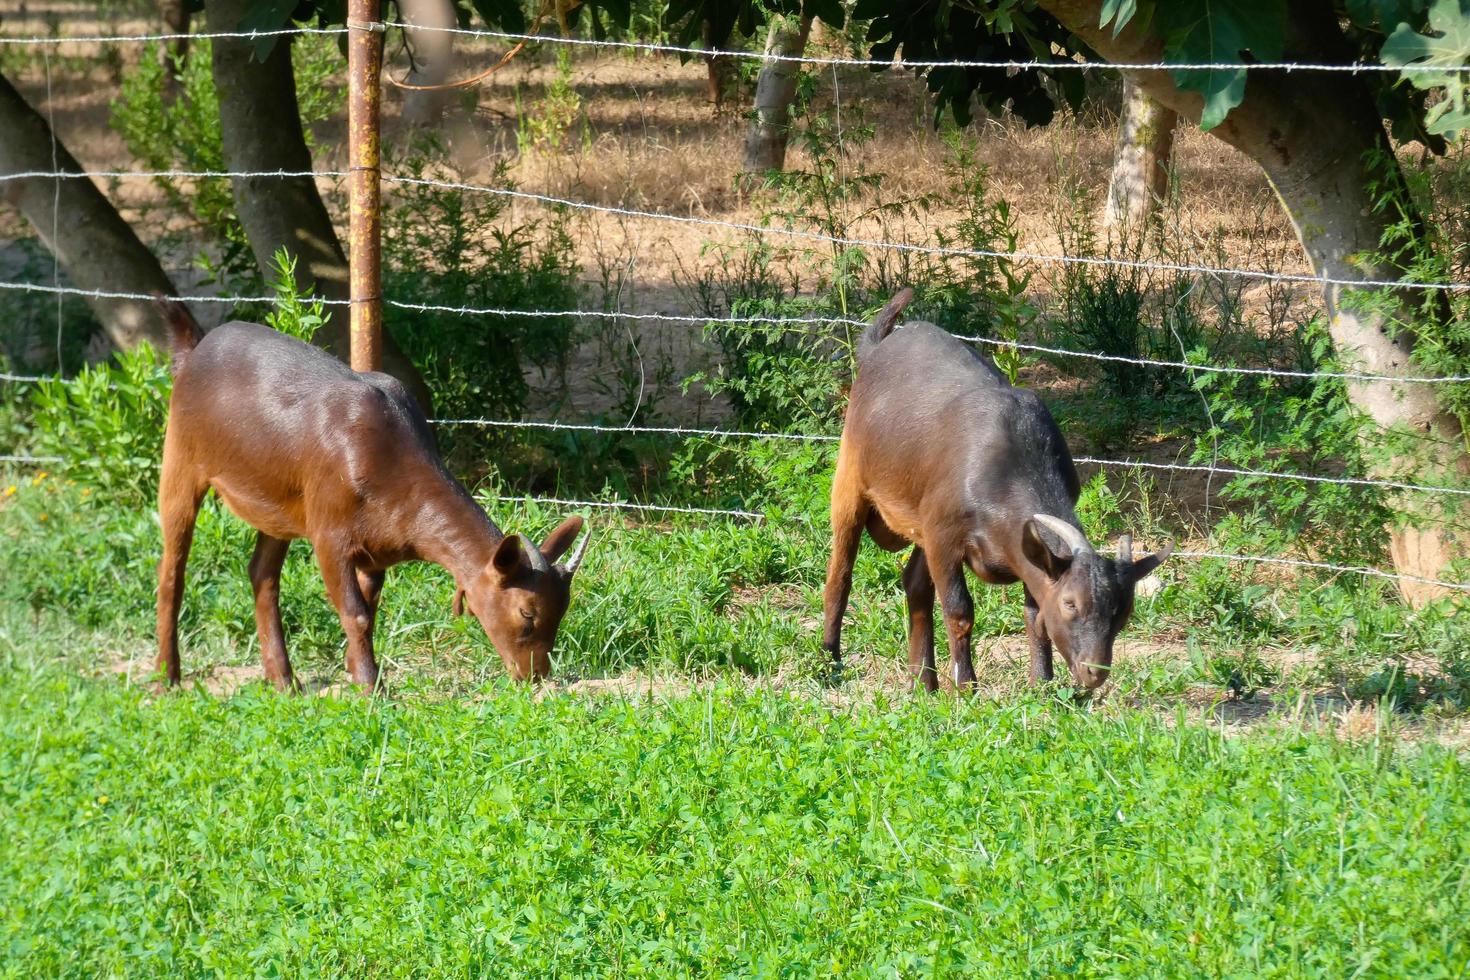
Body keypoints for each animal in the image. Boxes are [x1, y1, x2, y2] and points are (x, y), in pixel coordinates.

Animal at [149, 299, 585, 690]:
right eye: (527, 613)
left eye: (563, 610)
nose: (534, 675)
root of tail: (193, 349)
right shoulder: (329, 534)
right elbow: (355, 611)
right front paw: (370, 687)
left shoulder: (379, 544)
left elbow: (370, 608)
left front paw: (355, 668)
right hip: (180, 456)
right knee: (173, 569)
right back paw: (167, 678)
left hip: (276, 502)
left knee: (262, 573)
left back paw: (284, 681)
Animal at [817, 287, 1170, 693]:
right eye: (1070, 603)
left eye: (1122, 610)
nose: (1094, 672)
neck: (1005, 468)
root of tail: (876, 348)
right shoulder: (944, 536)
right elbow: (959, 610)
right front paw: (967, 686)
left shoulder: (1014, 547)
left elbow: (1034, 615)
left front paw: (1041, 683)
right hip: (850, 483)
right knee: (840, 575)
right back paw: (830, 663)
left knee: (915, 584)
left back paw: (923, 682)